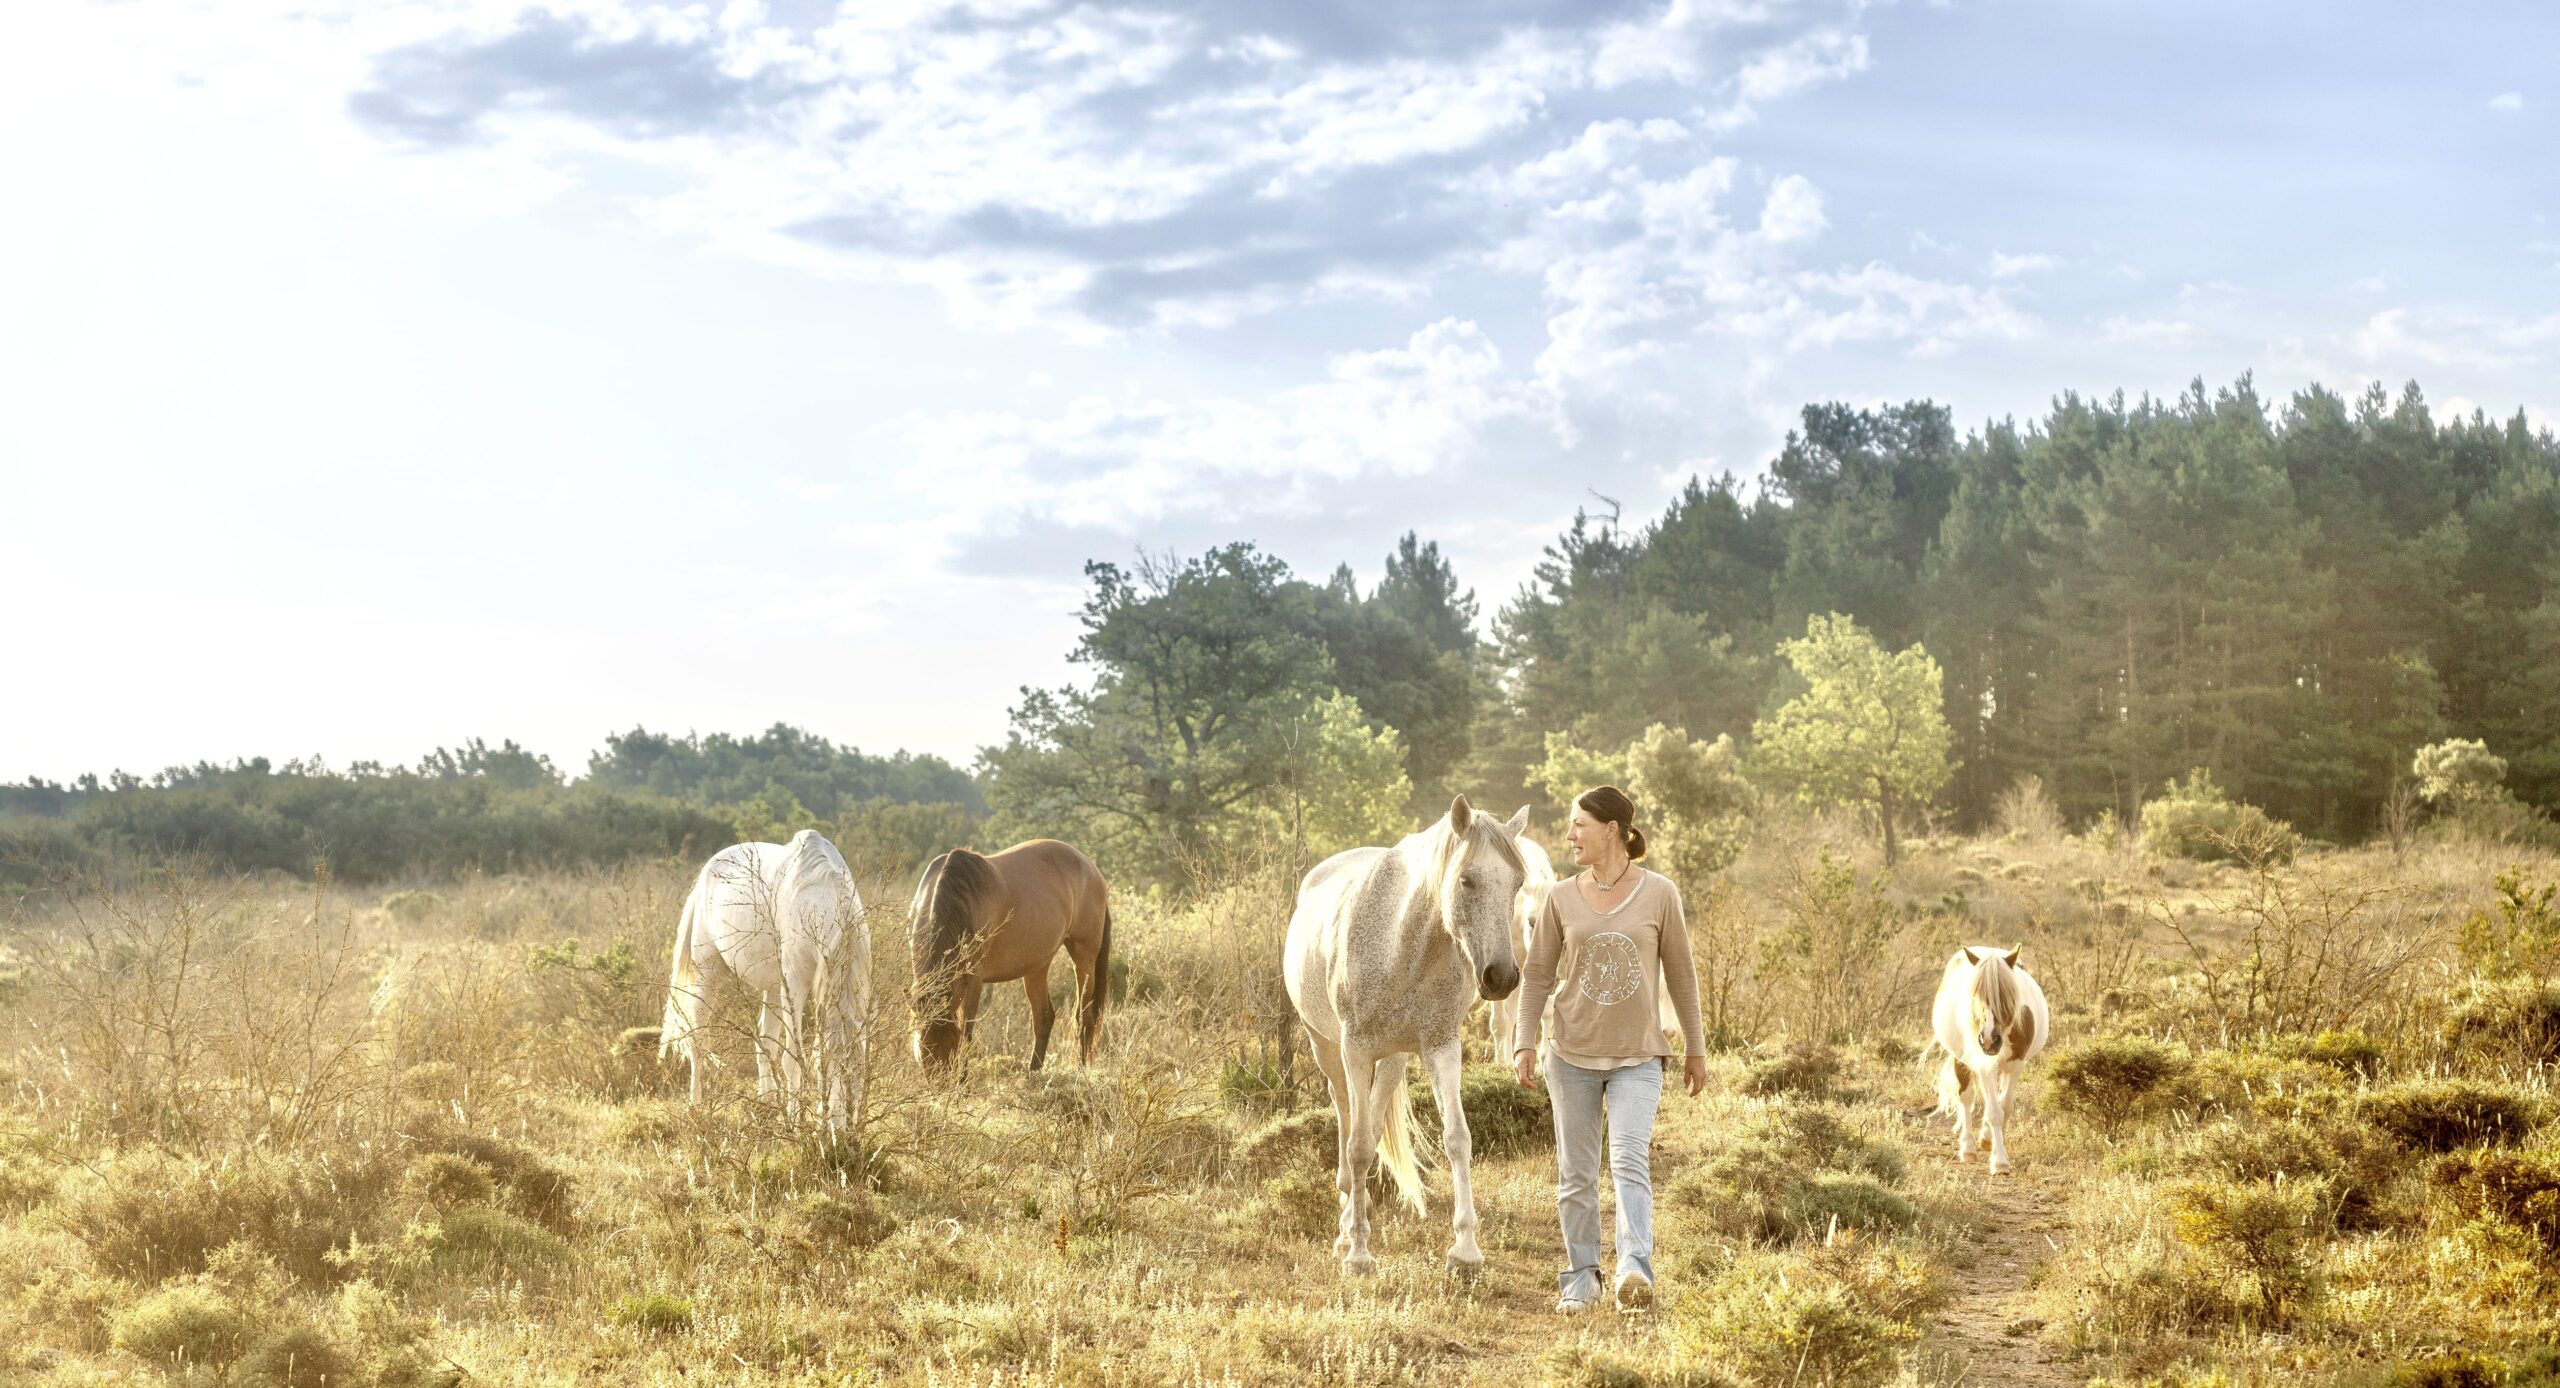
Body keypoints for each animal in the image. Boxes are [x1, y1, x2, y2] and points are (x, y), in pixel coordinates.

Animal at [660, 834, 870, 1137]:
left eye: (857, 1075)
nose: (842, 1136)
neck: (816, 897)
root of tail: (705, 873)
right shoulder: (795, 986)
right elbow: (794, 1058)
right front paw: (795, 1123)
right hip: (708, 972)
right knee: (698, 1041)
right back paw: (695, 1108)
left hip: (772, 987)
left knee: (765, 1045)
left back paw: (767, 1105)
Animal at [906, 839, 1105, 1075]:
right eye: (923, 1049)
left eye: (951, 1045)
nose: (944, 1083)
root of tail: (1089, 865)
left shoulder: (974, 980)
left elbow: (967, 1033)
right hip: (1037, 966)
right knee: (1044, 1016)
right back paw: (1033, 1073)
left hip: (1084, 956)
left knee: (1084, 1016)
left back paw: (1080, 1070)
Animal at [1280, 793, 1515, 1285]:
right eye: (1466, 879)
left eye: (1518, 882)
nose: (1501, 976)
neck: (1404, 945)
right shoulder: (1355, 1049)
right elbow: (1357, 1147)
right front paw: (1359, 1254)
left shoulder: (1441, 1046)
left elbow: (1457, 1138)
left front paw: (1466, 1251)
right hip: (1328, 1051)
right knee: (1348, 1123)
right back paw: (1345, 1229)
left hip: (1392, 1060)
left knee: (1372, 1121)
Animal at [1925, 947, 2048, 1178]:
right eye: (1976, 996)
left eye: (2006, 997)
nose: (1989, 1039)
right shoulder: (1983, 1065)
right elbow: (1994, 1111)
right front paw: (1999, 1162)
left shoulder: (2016, 1064)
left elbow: (2004, 1106)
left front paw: (1990, 1141)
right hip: (1962, 1060)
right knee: (1966, 1098)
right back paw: (1968, 1149)